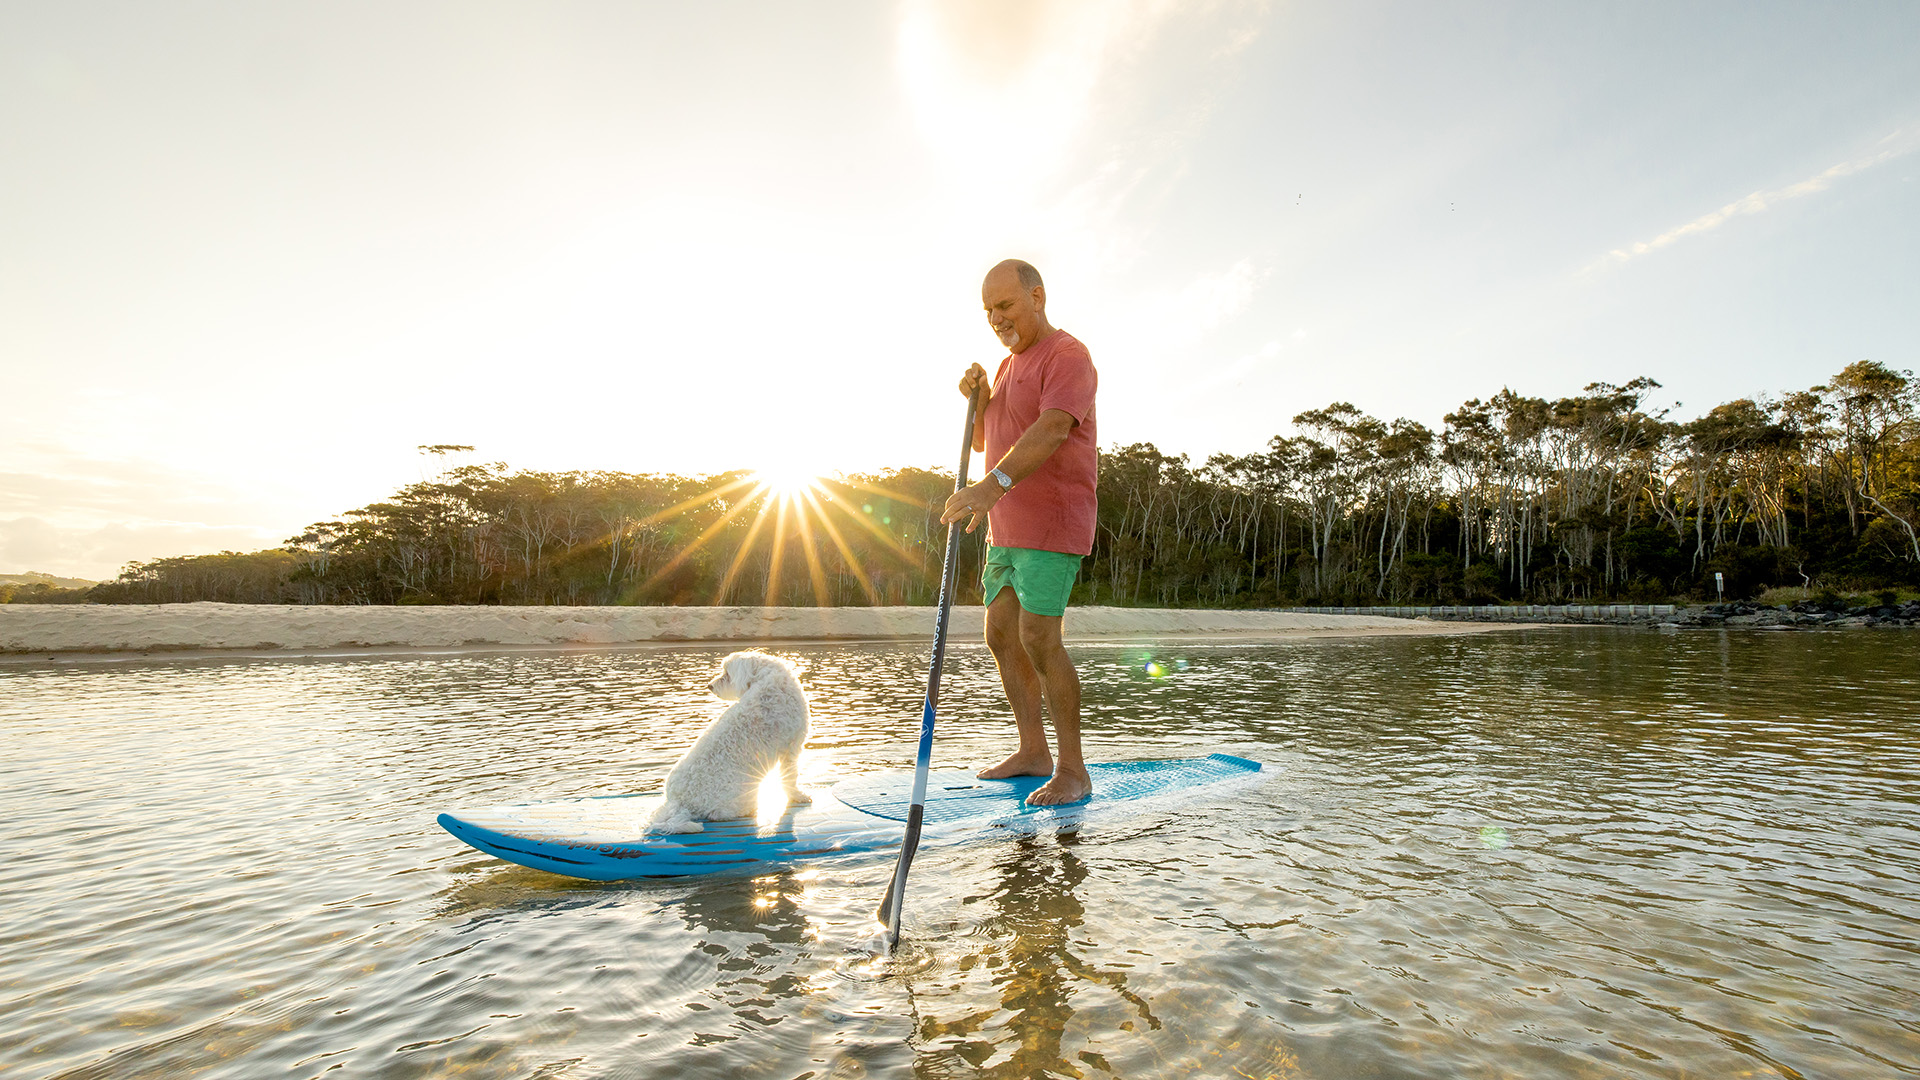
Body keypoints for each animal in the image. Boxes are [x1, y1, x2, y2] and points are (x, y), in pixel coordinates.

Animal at [645, 645, 810, 834]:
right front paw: (798, 796)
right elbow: (790, 777)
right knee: (718, 814)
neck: (768, 678)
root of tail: (679, 803)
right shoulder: (791, 748)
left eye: (727, 674)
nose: (710, 686)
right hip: (743, 792)